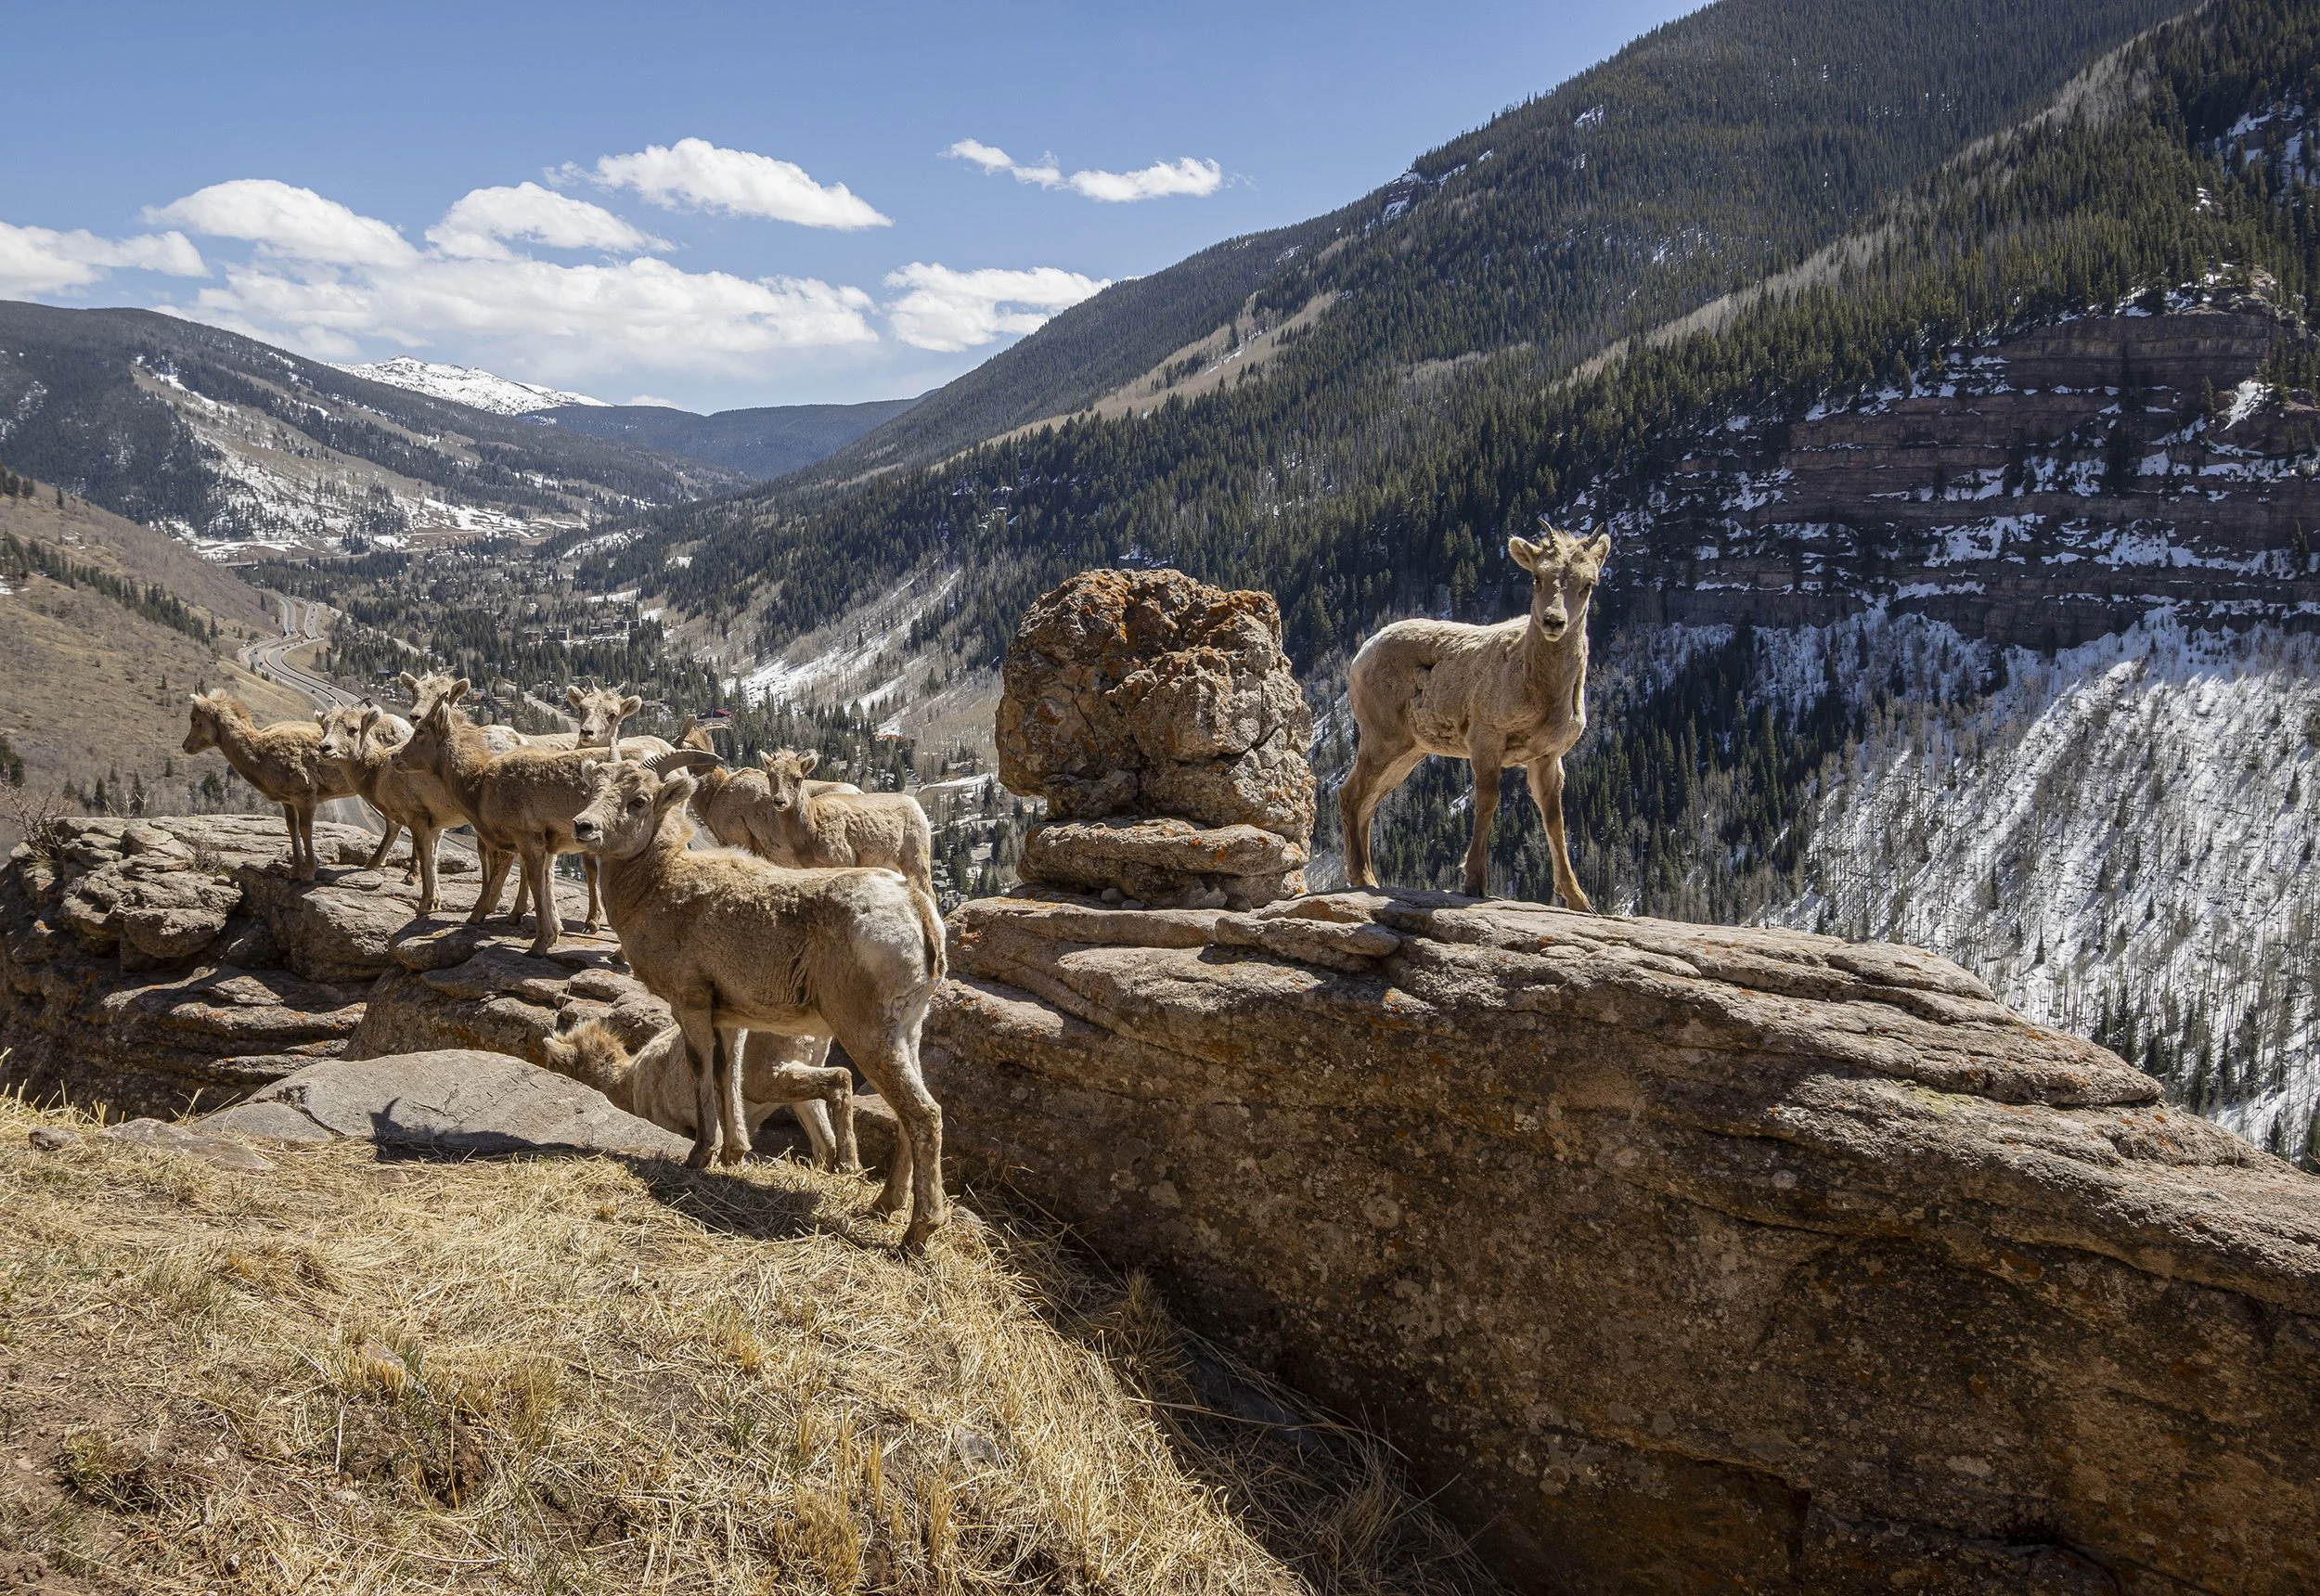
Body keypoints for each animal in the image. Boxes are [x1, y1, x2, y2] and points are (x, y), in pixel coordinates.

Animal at [181, 691, 359, 881]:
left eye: (194, 719)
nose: (185, 746)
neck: (260, 753)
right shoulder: (288, 801)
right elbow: (292, 829)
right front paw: (293, 872)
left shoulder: (305, 796)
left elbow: (306, 830)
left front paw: (308, 874)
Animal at [392, 679, 611, 954]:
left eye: (420, 731)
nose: (396, 758)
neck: (479, 785)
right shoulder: (547, 846)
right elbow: (546, 882)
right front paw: (553, 935)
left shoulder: (527, 839)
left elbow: (534, 883)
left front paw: (538, 945)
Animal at [540, 1016, 859, 1170]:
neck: (629, 1082)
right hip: (803, 1086)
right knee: (825, 1141)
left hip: (768, 1076)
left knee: (841, 1078)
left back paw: (849, 1165)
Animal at [1339, 527, 1610, 906]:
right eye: (1537, 577)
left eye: (1587, 584)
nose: (1554, 621)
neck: (1539, 689)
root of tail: (1361, 655)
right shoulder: (1486, 737)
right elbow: (1487, 801)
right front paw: (1474, 883)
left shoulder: (1546, 756)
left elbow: (1554, 821)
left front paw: (1580, 901)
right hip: (1382, 738)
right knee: (1350, 794)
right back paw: (1363, 877)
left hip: (1409, 751)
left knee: (1369, 801)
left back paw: (1368, 876)